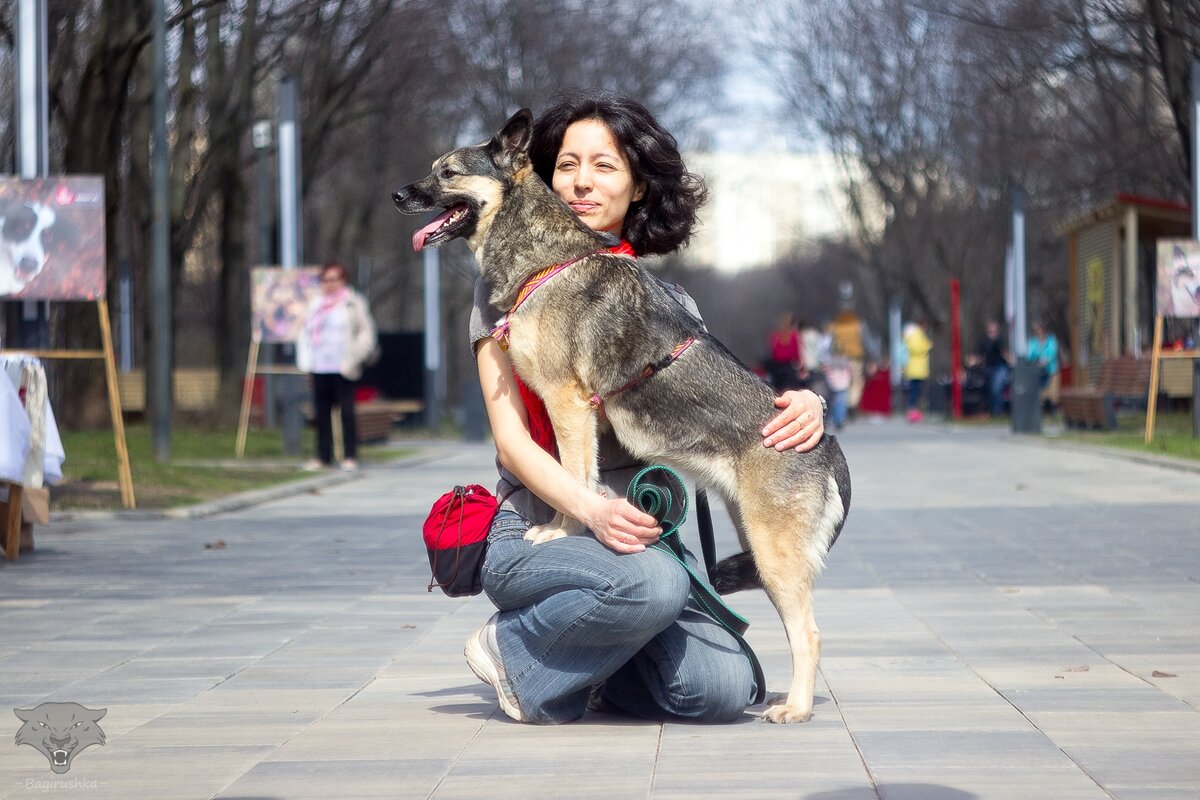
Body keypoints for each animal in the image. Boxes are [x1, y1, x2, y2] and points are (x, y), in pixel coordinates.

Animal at [396, 107, 854, 724]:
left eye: (447, 173)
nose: (398, 194)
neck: (545, 256)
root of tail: (828, 446)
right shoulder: (578, 414)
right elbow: (581, 479)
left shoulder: (568, 403)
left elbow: (571, 479)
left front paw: (560, 532)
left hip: (774, 553)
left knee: (809, 634)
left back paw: (797, 709)